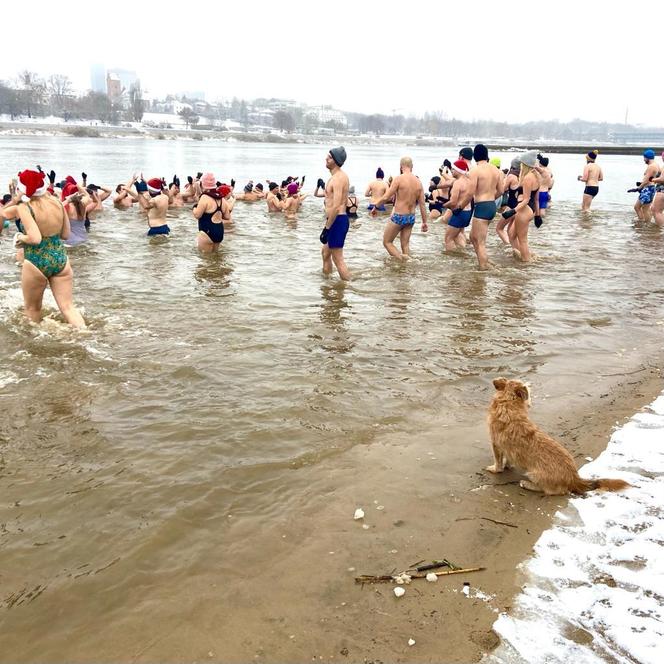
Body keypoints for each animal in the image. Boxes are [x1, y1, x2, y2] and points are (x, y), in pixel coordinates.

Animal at [486, 376, 632, 496]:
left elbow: (498, 462)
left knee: (551, 491)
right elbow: (508, 459)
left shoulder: (495, 445)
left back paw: (527, 484)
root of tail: (574, 478)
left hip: (534, 474)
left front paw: (495, 469)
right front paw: (507, 464)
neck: (507, 404)